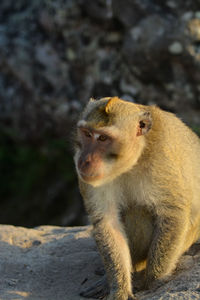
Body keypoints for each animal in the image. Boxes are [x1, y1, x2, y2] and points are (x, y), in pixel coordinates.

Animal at [74, 96, 200, 300]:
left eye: (103, 138)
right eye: (87, 134)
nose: (84, 160)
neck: (132, 163)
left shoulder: (161, 163)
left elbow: (173, 213)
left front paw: (155, 279)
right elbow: (107, 221)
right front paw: (120, 290)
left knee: (140, 212)